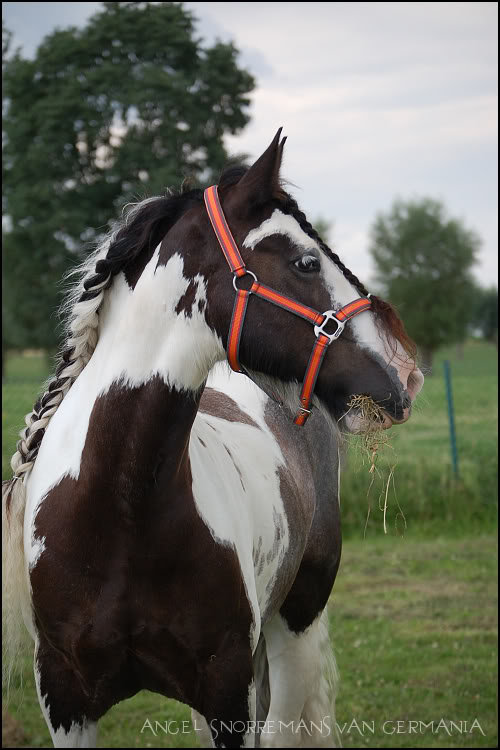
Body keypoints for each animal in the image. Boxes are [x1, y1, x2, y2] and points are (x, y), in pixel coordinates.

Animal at [1, 132, 424, 748]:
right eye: (305, 261)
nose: (406, 373)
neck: (118, 511)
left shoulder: (227, 690)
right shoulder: (65, 698)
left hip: (294, 629)